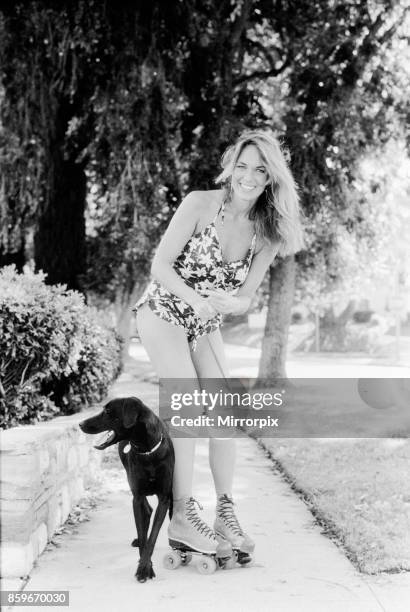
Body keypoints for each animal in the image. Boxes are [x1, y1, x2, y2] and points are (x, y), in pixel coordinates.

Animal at [79, 396, 175, 584]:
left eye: (108, 411)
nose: (80, 423)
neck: (147, 451)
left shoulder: (164, 498)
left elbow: (152, 538)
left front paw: (144, 568)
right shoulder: (136, 497)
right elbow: (144, 536)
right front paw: (145, 567)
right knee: (146, 510)